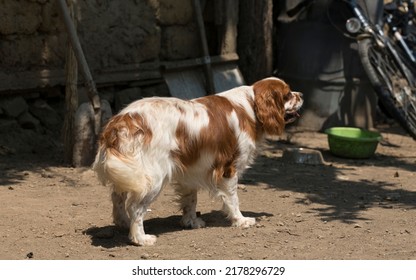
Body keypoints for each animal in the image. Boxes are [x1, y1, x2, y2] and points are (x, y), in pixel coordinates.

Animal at [93, 76, 302, 245]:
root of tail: (122, 121)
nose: (300, 94)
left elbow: (190, 200)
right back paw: (140, 238)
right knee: (136, 207)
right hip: (152, 178)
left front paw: (191, 222)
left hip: (131, 172)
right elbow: (233, 199)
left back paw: (123, 223)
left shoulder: (190, 170)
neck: (250, 106)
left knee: (117, 197)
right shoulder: (228, 169)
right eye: (288, 94)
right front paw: (240, 220)